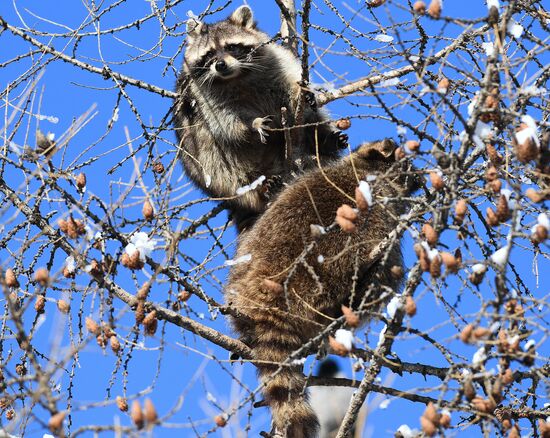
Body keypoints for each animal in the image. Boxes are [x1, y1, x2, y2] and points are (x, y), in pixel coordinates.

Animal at [175, 6, 348, 233]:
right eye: (210, 54)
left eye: (231, 47)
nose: (220, 65)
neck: (236, 77)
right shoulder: (203, 96)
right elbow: (225, 121)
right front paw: (253, 124)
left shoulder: (275, 61)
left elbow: (290, 84)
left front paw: (301, 93)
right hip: (204, 164)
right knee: (215, 159)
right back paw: (260, 187)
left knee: (314, 120)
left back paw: (325, 140)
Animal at [226, 140, 420, 438]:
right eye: (408, 164)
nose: (423, 178)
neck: (361, 164)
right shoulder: (379, 196)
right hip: (328, 272)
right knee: (384, 264)